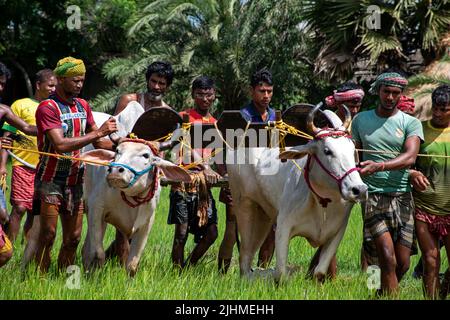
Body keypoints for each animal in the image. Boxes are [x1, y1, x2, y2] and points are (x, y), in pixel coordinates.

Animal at [227, 104, 368, 280]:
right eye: (327, 151)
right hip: (244, 206)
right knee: (245, 260)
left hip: (263, 216)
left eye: (352, 149)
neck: (323, 203)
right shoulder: (283, 227)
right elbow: (281, 273)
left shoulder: (337, 232)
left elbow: (319, 272)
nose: (359, 190)